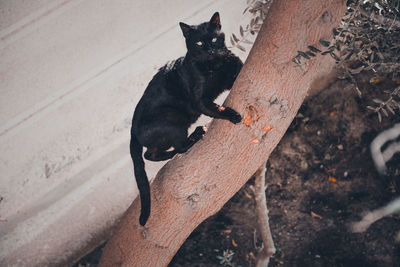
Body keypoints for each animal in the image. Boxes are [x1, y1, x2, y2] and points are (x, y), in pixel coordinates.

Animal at [131, 12, 242, 226]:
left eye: (214, 39)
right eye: (198, 43)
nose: (210, 49)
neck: (214, 64)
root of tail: (131, 129)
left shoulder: (233, 72)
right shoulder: (200, 101)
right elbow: (218, 109)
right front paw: (233, 115)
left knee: (150, 154)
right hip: (174, 120)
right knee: (176, 147)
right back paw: (197, 134)